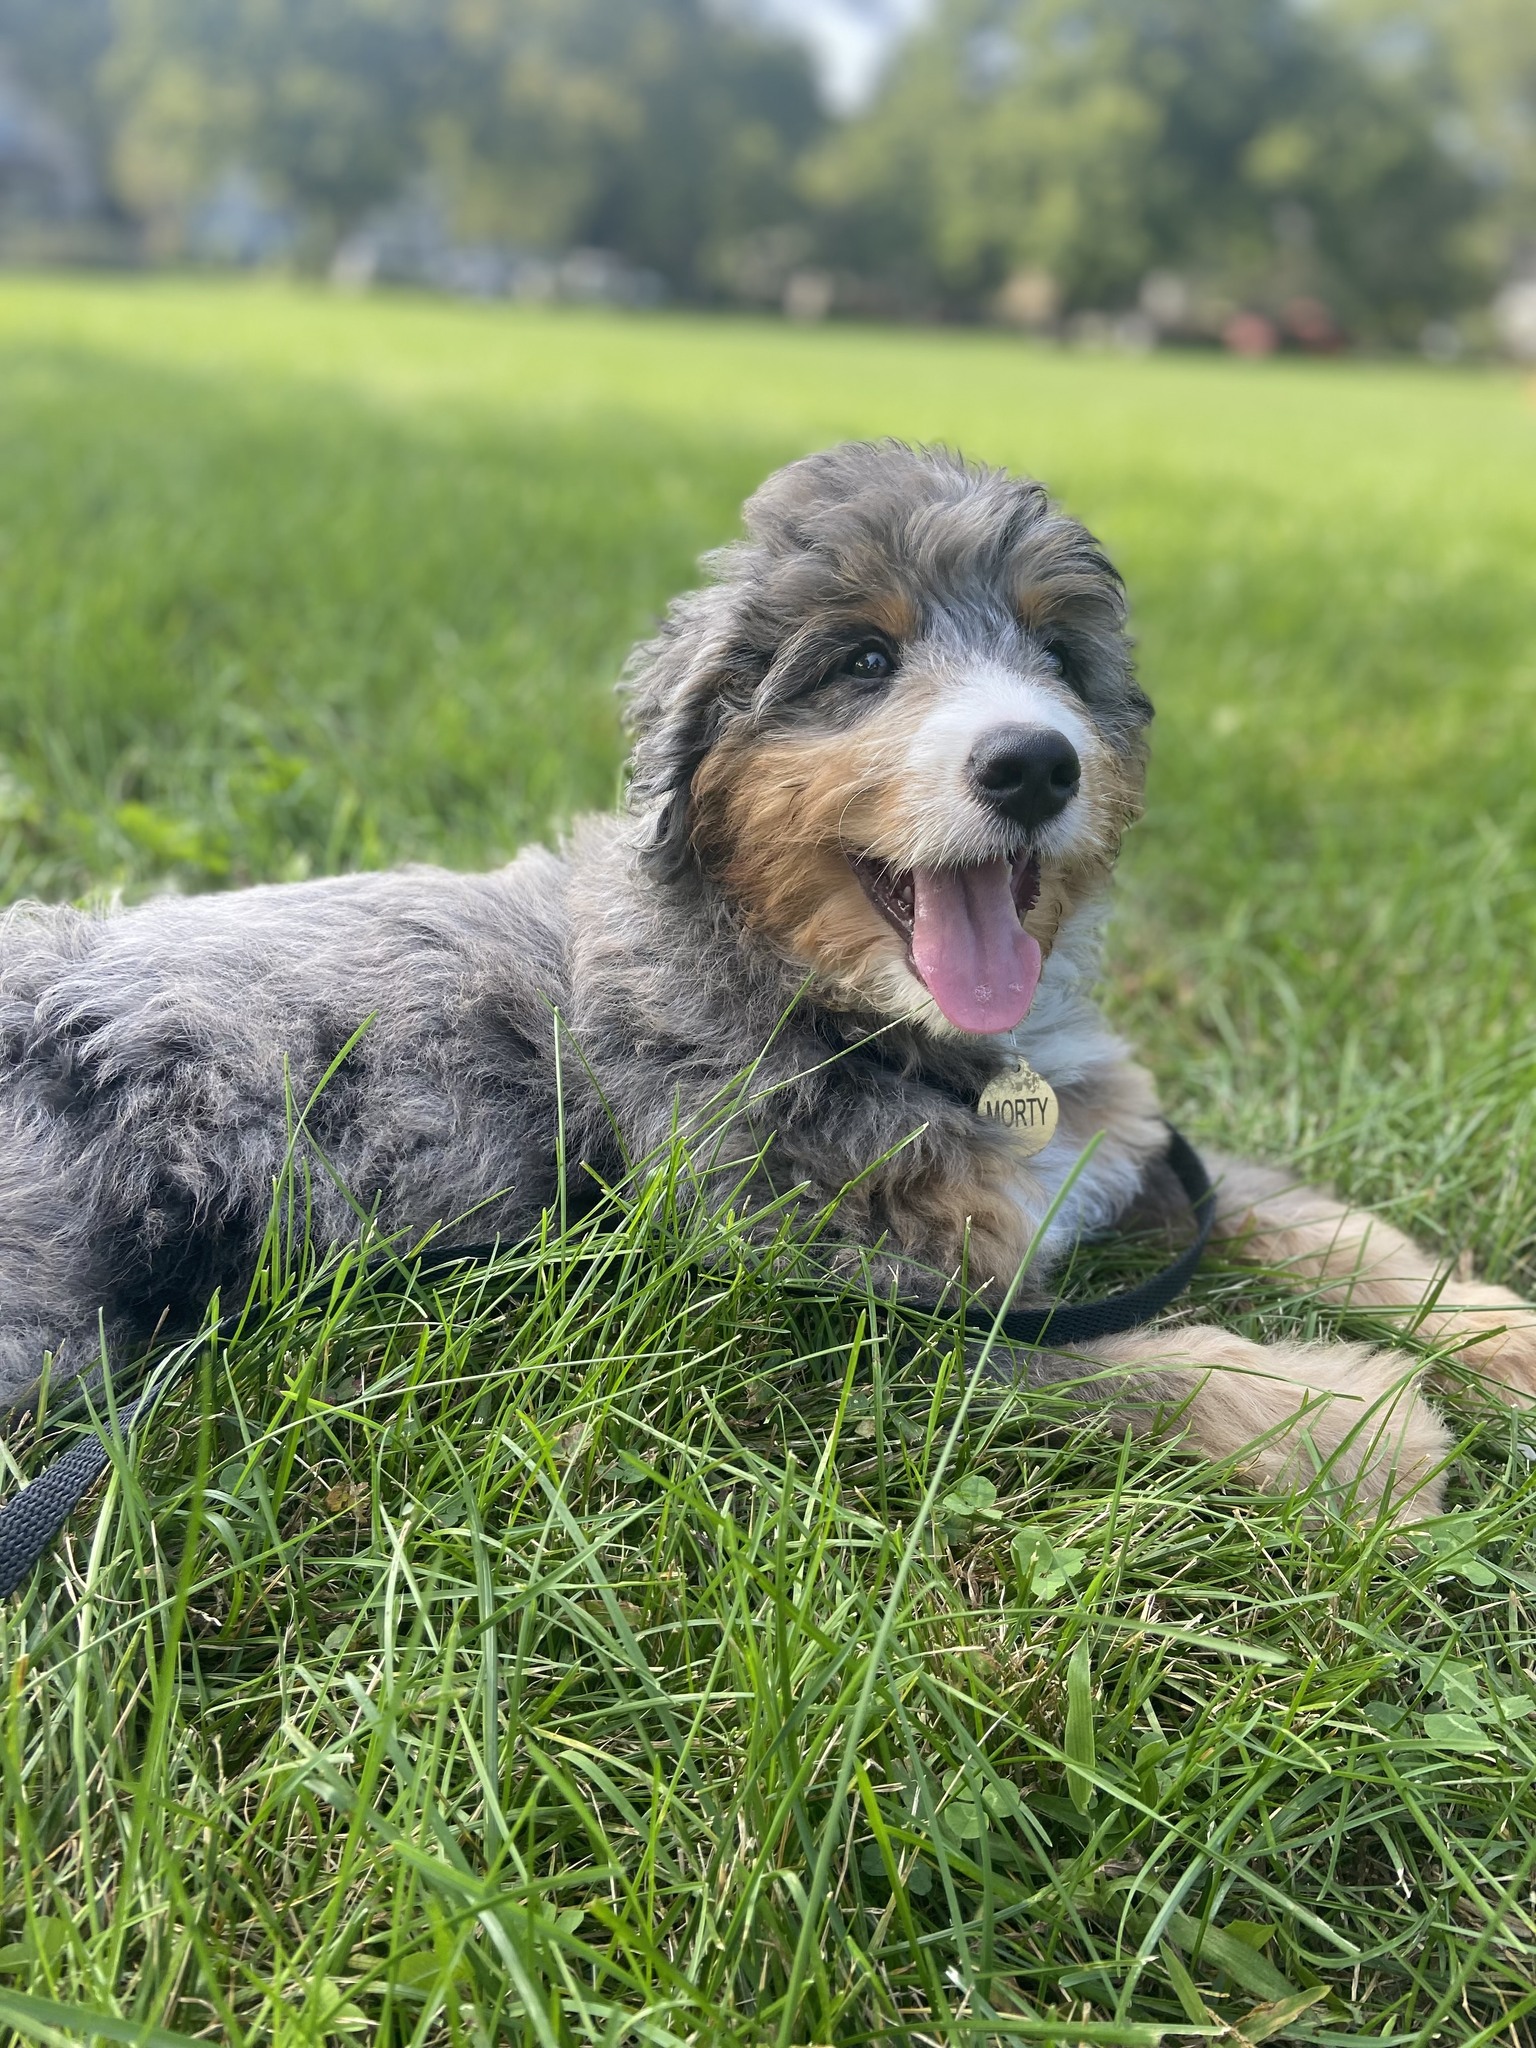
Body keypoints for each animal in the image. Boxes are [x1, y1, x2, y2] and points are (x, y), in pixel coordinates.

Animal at [3, 444, 1536, 1507]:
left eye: (1059, 652)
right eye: (861, 659)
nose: (1036, 764)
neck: (859, 1016)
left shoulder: (1139, 1145)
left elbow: (1332, 1227)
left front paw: (1496, 1338)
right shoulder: (827, 1297)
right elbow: (1134, 1361)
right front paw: (1355, 1429)